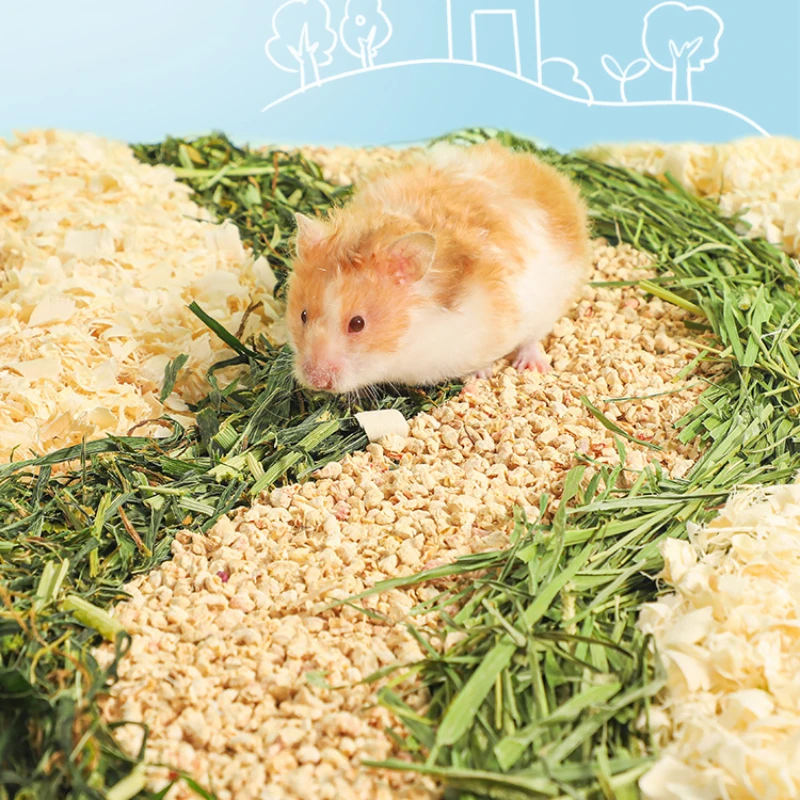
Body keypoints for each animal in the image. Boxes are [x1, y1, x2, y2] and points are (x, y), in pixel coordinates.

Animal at [285, 139, 592, 394]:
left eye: (357, 324)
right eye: (303, 315)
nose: (316, 380)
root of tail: (551, 177)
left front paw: (477, 379)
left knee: (533, 339)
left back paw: (532, 366)